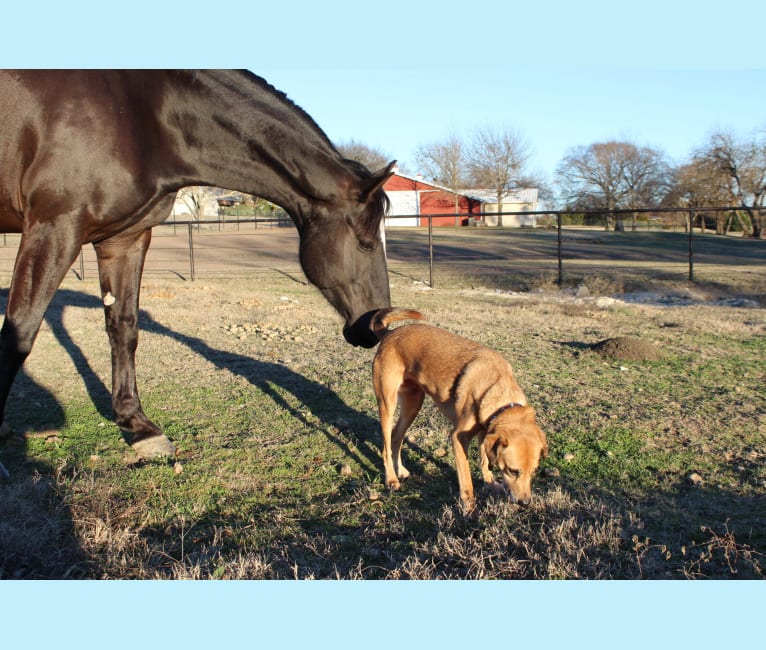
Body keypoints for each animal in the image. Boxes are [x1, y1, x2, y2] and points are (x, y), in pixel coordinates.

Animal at [0, 71, 392, 476]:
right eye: (365, 243)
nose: (375, 326)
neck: (139, 115)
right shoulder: (54, 227)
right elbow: (19, 334)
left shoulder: (124, 239)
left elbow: (123, 329)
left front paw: (139, 426)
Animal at [374, 308, 548, 512]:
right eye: (513, 471)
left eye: (534, 471)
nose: (525, 503)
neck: (496, 387)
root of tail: (389, 334)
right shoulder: (458, 437)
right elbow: (466, 477)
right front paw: (469, 506)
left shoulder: (486, 431)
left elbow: (485, 460)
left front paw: (490, 482)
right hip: (387, 404)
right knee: (386, 446)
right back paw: (391, 479)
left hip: (413, 404)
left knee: (396, 436)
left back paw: (400, 471)